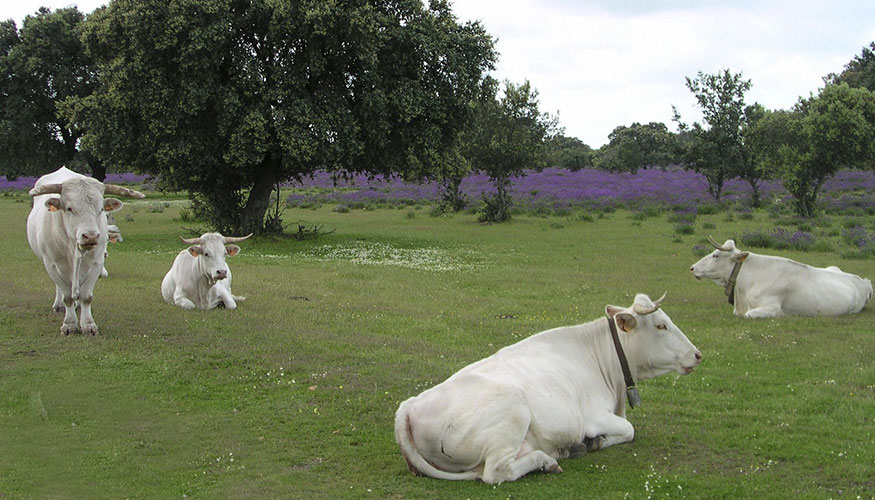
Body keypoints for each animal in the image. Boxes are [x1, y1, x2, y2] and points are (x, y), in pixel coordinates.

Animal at [27, 168, 145, 336]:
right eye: (69, 208)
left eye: (101, 209)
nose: (91, 236)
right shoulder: (51, 264)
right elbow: (67, 296)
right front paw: (69, 324)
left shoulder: (96, 263)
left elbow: (86, 297)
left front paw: (88, 325)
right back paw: (59, 305)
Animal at [394, 292, 700, 484]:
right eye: (661, 326)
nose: (697, 354)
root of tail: (409, 406)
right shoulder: (593, 417)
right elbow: (629, 430)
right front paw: (596, 441)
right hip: (513, 409)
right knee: (495, 472)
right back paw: (548, 460)